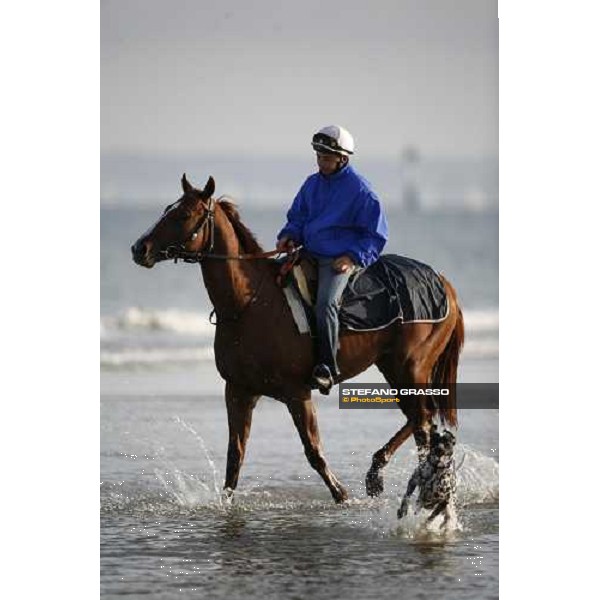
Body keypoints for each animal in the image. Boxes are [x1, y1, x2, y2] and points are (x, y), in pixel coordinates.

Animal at [130, 173, 464, 502]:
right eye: (167, 209)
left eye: (184, 215)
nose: (139, 248)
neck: (249, 303)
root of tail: (443, 282)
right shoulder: (238, 391)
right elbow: (234, 457)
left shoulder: (297, 393)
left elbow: (313, 450)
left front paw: (342, 495)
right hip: (393, 366)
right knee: (421, 418)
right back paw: (377, 472)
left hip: (410, 367)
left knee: (422, 419)